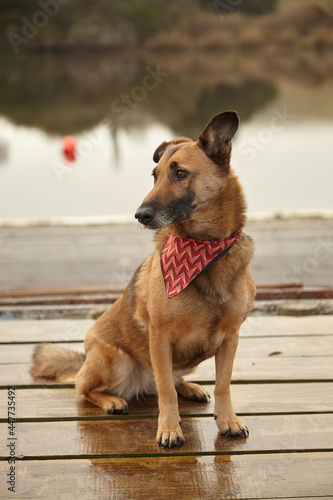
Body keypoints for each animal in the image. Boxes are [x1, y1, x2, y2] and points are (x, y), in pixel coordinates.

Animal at [31, 111, 254, 448]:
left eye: (180, 174)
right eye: (154, 175)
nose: (140, 215)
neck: (205, 249)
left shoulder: (230, 338)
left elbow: (222, 385)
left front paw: (228, 420)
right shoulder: (159, 337)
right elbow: (165, 391)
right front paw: (170, 429)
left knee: (172, 379)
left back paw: (190, 387)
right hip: (114, 359)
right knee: (84, 389)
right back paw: (112, 401)